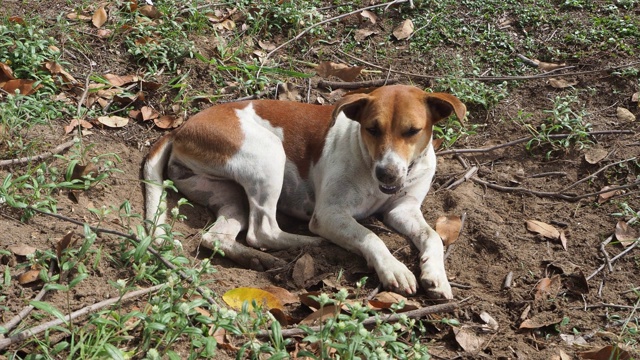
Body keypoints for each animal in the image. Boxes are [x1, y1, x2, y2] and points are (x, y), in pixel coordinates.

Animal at [145, 84, 464, 298]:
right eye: (372, 129)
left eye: (412, 131)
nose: (386, 173)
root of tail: (180, 128)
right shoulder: (330, 214)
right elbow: (370, 236)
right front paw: (393, 268)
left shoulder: (403, 211)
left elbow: (432, 236)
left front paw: (436, 274)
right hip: (269, 154)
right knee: (262, 231)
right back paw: (310, 244)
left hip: (228, 194)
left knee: (217, 236)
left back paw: (256, 259)